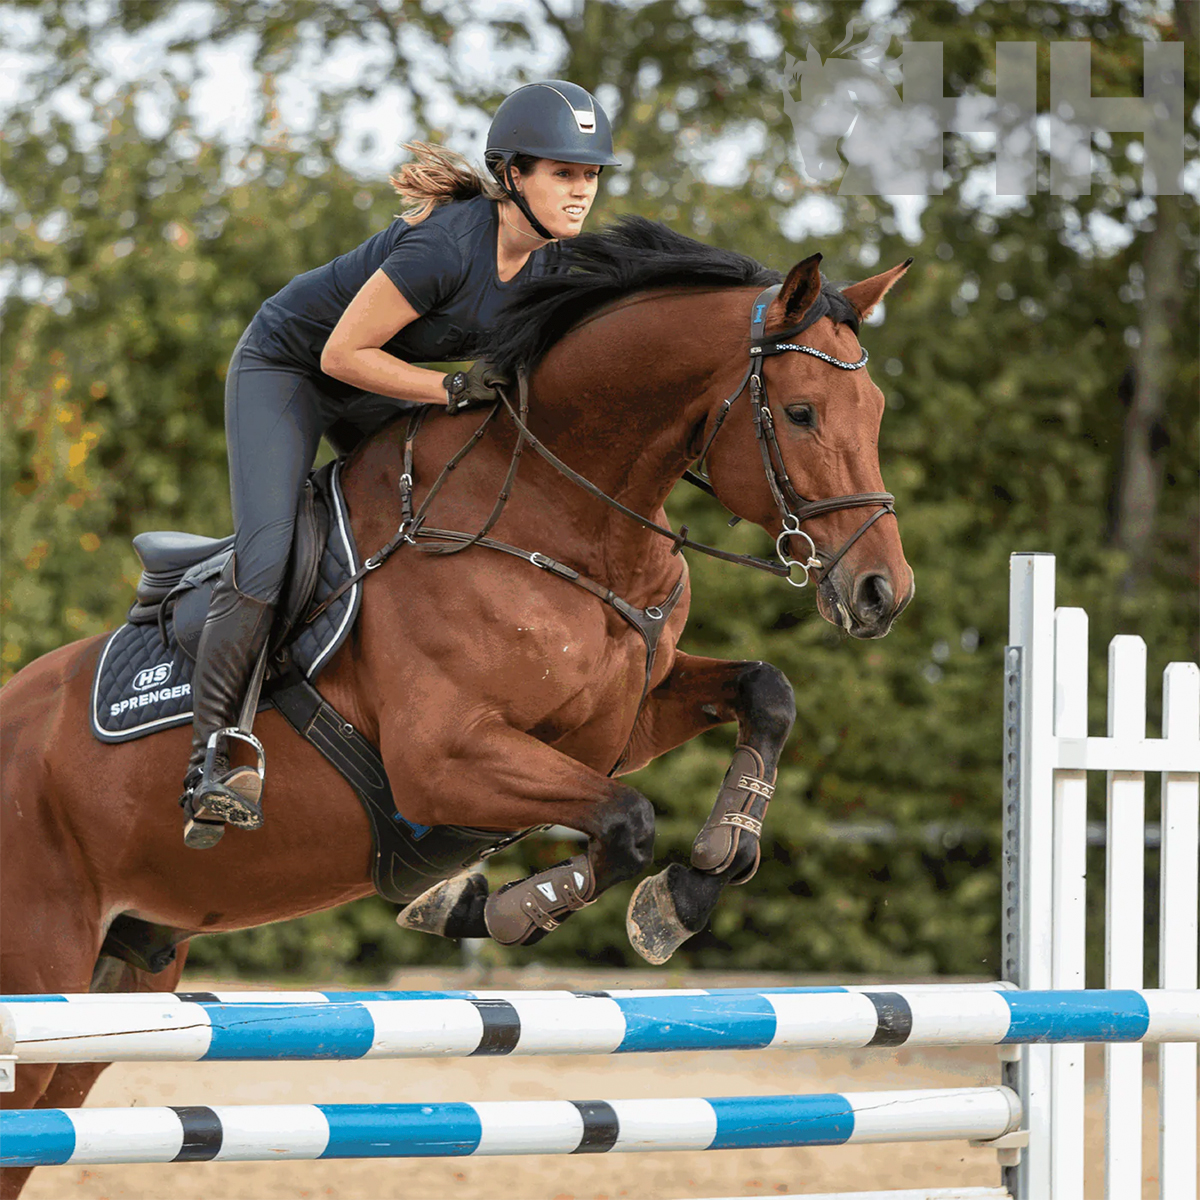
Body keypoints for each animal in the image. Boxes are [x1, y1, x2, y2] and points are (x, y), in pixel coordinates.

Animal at [0, 218, 912, 1198]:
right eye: (803, 412)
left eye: (877, 410)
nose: (881, 593)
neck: (558, 519)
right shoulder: (445, 761)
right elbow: (626, 821)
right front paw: (505, 908)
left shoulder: (620, 722)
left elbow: (765, 693)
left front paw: (705, 870)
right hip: (40, 969)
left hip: (115, 987)